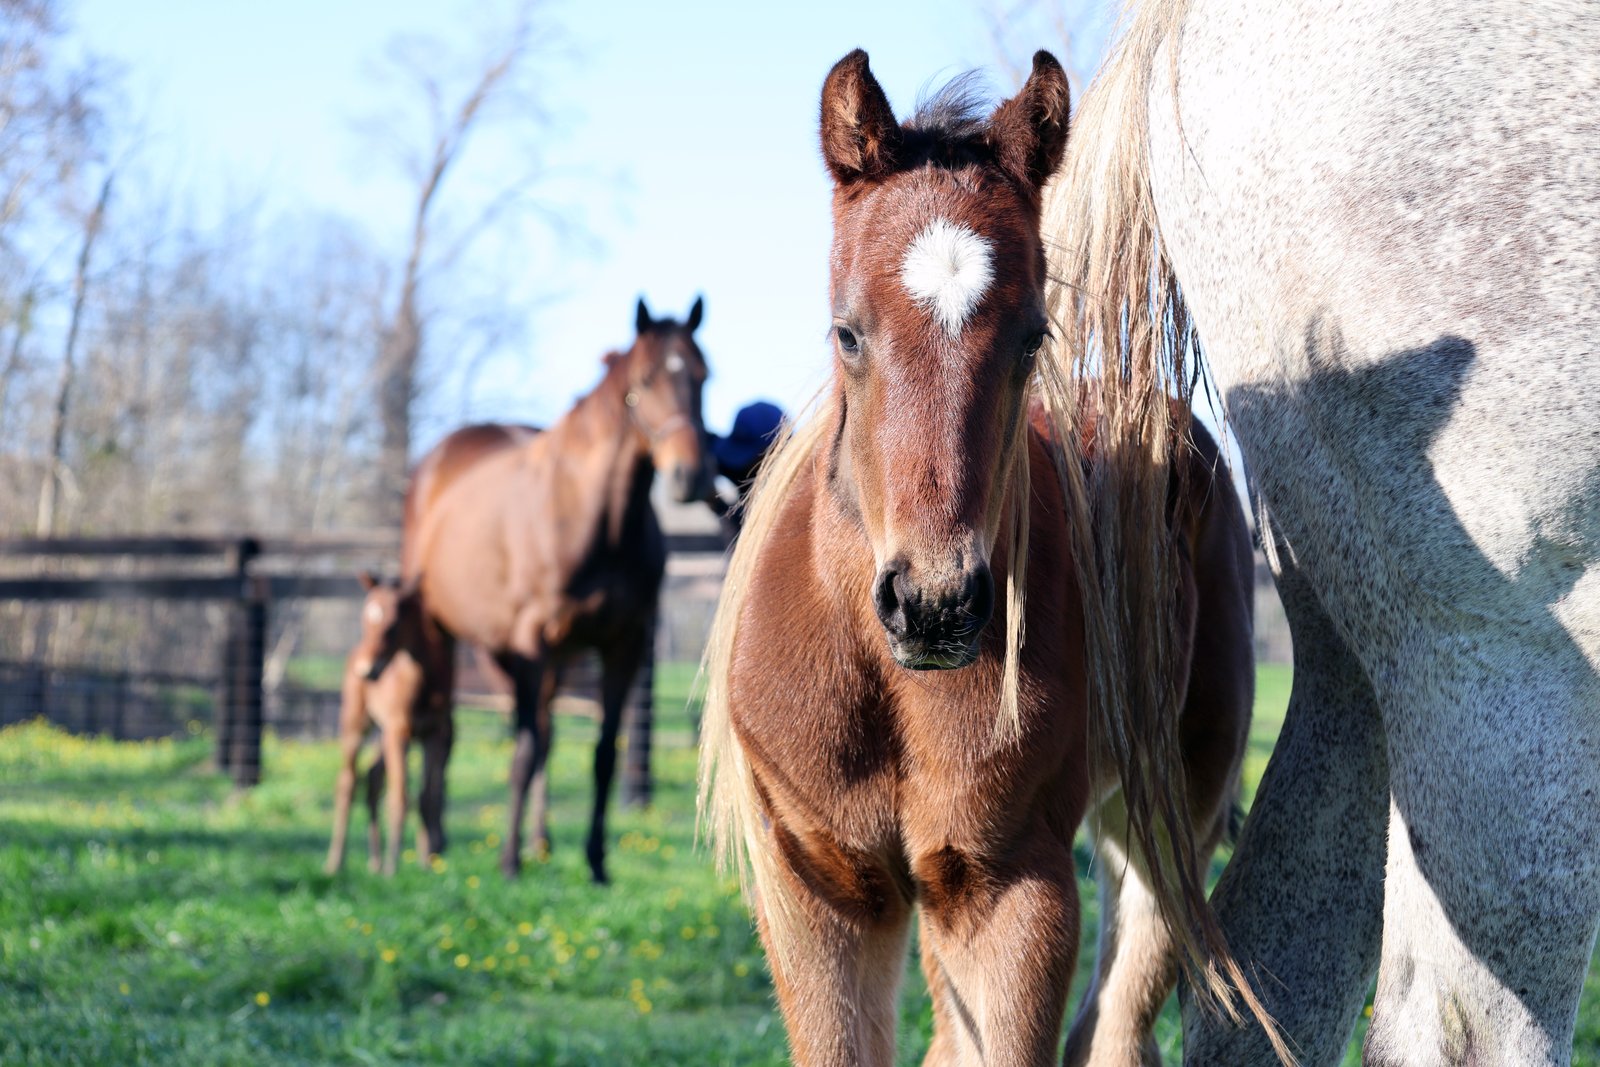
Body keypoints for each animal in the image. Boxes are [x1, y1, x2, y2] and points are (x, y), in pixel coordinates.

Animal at [324, 572, 455, 876]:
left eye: (393, 626)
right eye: (365, 619)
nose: (367, 670)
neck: (422, 681)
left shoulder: (433, 733)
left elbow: (427, 798)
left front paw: (425, 864)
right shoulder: (399, 732)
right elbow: (400, 797)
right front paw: (393, 869)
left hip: (383, 734)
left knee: (372, 778)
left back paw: (374, 860)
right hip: (358, 724)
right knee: (348, 782)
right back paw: (336, 862)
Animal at [404, 296, 711, 884]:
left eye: (704, 375)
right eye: (644, 379)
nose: (690, 476)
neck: (592, 518)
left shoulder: (622, 645)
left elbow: (602, 754)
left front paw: (596, 862)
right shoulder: (534, 640)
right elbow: (522, 753)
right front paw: (507, 862)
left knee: (544, 733)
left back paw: (540, 843)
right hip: (444, 633)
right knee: (448, 732)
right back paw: (433, 843)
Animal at [699, 52, 1262, 1065]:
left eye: (1033, 333)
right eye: (846, 331)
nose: (934, 604)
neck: (882, 683)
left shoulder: (1006, 885)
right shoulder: (819, 883)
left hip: (1173, 814)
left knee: (1116, 1023)